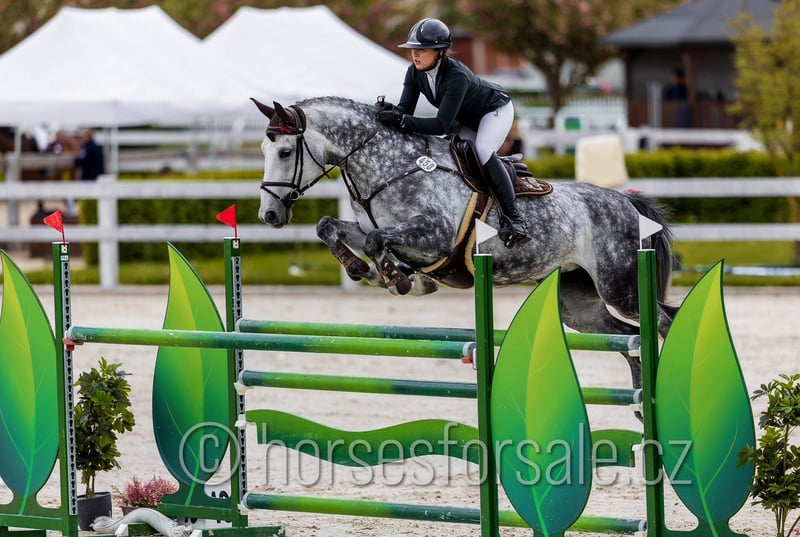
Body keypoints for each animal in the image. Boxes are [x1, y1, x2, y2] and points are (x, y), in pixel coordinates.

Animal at [251, 96, 678, 391]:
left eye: (285, 151)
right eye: (263, 150)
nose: (269, 215)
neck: (388, 168)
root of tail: (625, 201)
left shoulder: (435, 236)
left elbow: (376, 241)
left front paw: (397, 277)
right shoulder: (372, 226)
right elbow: (330, 227)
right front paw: (361, 268)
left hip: (619, 286)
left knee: (660, 322)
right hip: (578, 303)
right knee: (626, 337)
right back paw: (639, 400)